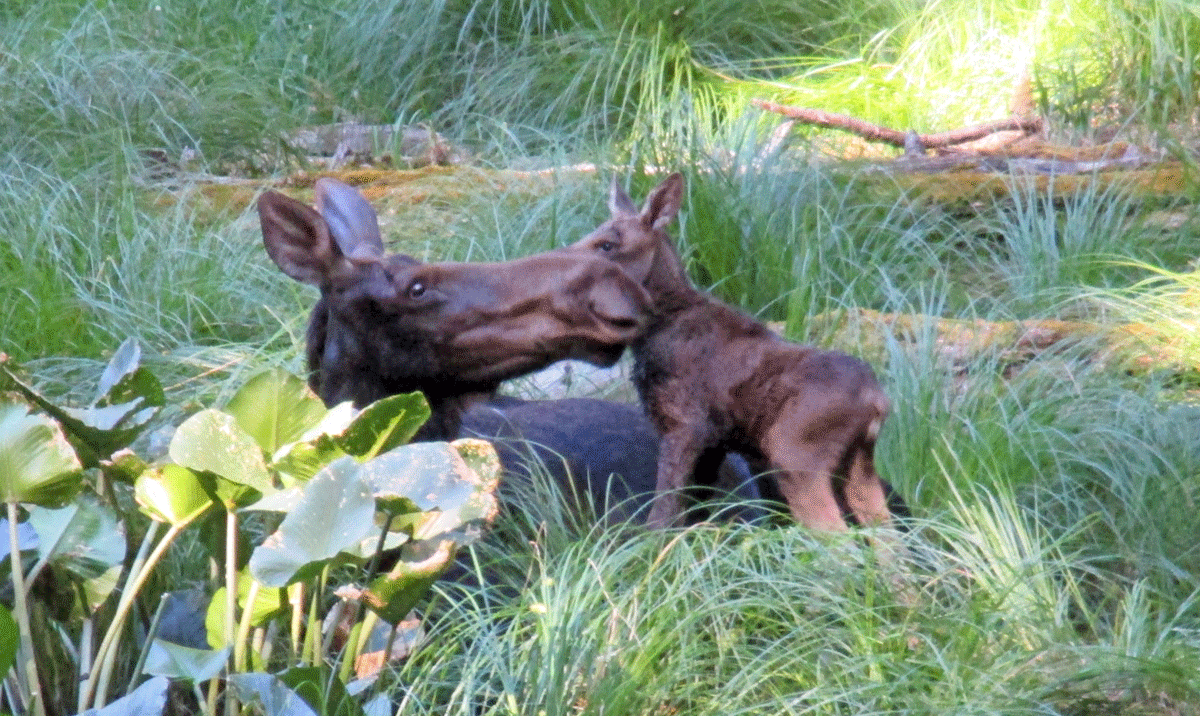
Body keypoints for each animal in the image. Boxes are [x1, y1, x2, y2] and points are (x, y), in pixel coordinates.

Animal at [569, 172, 900, 541]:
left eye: (607, 245)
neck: (651, 331)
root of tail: (877, 401)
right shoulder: (714, 442)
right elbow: (694, 509)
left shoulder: (686, 424)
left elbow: (663, 511)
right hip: (859, 466)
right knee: (887, 538)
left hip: (796, 454)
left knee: (839, 538)